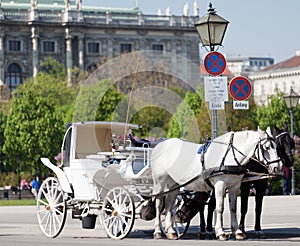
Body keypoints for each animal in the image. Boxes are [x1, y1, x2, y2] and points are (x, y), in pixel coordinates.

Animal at [151, 129, 282, 240]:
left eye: (276, 147)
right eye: (266, 147)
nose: (278, 167)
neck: (230, 156)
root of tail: (159, 146)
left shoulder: (235, 186)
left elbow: (233, 208)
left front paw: (237, 231)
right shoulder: (220, 184)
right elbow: (219, 208)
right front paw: (220, 232)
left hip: (174, 185)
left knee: (169, 205)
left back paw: (170, 231)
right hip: (160, 183)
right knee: (159, 204)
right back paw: (158, 231)